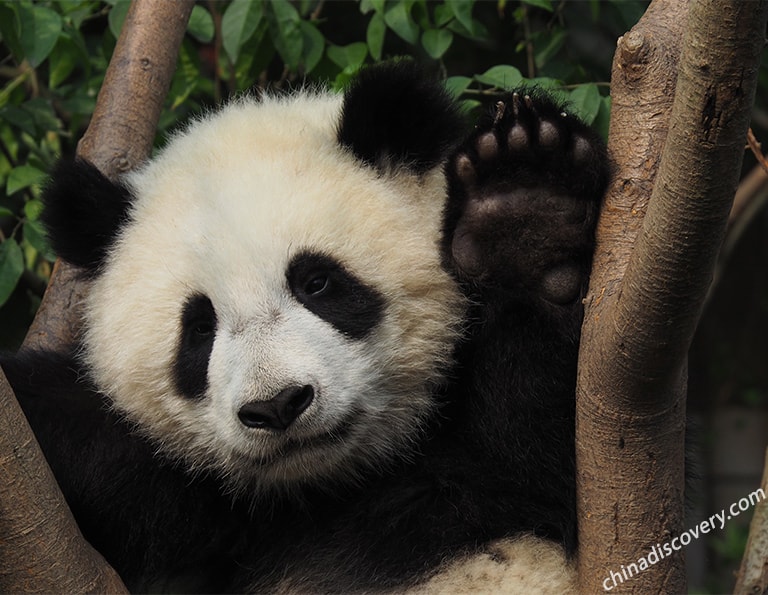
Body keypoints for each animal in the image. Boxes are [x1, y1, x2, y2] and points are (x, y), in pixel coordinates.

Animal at [3, 62, 608, 592]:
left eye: (315, 282)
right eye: (198, 328)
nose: (276, 406)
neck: (333, 487)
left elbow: (554, 439)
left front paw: (524, 207)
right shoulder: (181, 498)